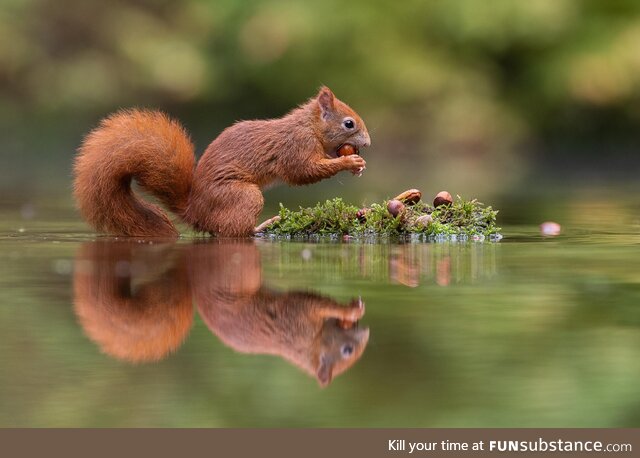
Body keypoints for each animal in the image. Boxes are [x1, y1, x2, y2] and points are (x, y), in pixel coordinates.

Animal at [74, 86, 370, 238]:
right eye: (349, 123)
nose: (367, 143)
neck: (309, 127)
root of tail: (194, 211)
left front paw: (357, 165)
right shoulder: (296, 147)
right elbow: (303, 172)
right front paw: (350, 162)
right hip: (241, 197)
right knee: (232, 232)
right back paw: (262, 227)